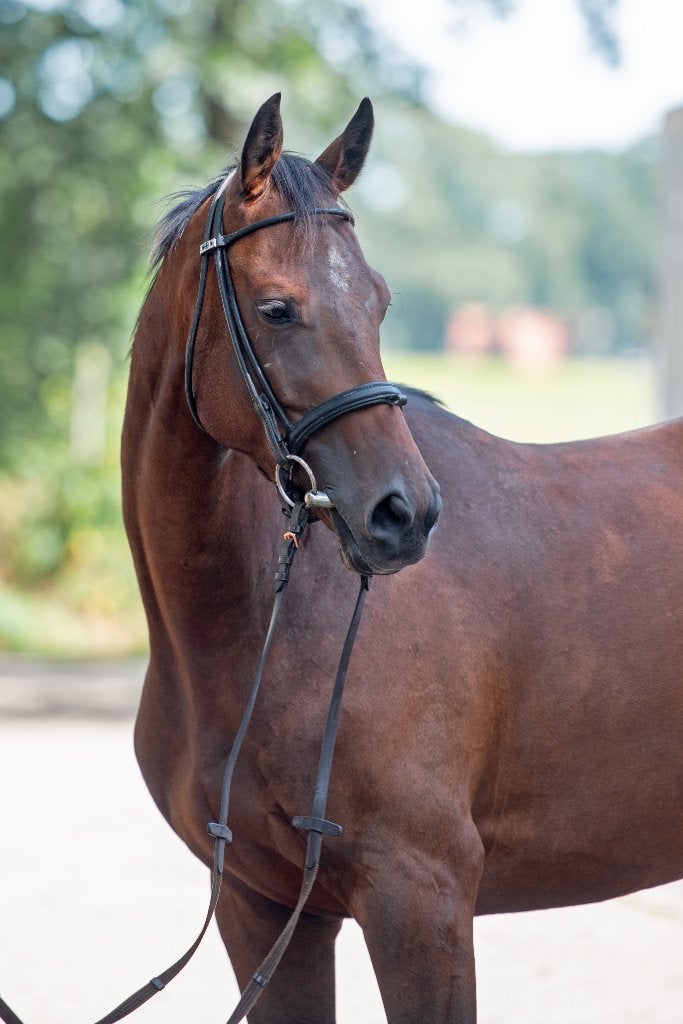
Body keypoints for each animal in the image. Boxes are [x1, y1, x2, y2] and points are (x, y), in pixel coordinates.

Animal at [122, 93, 683, 1023]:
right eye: (276, 308)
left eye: (380, 301)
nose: (404, 514)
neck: (260, 630)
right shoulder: (260, 907)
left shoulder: (419, 900)